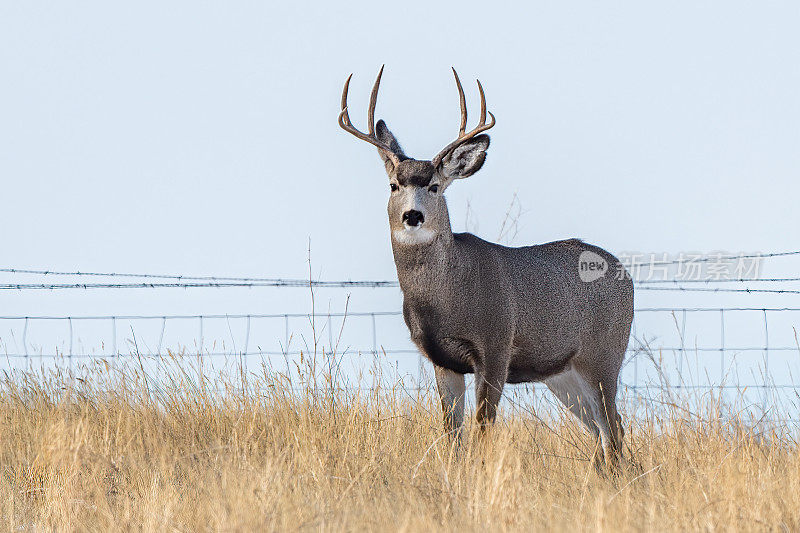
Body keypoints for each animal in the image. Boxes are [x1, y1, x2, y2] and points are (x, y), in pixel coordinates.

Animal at [336, 67, 632, 470]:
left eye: (434, 186)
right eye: (394, 185)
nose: (412, 215)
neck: (445, 298)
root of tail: (625, 273)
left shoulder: (495, 346)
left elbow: (483, 429)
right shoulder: (441, 359)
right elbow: (452, 434)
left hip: (603, 356)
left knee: (614, 427)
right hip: (563, 374)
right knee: (604, 429)